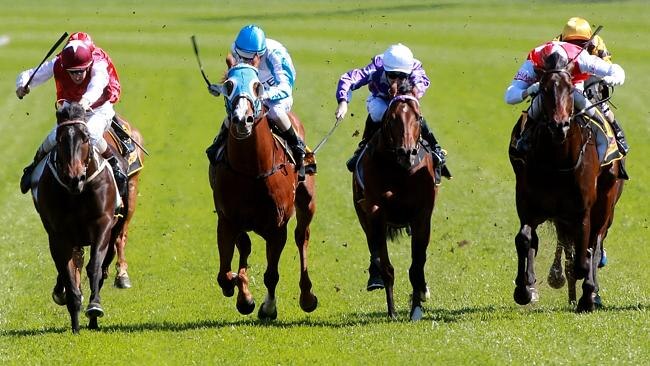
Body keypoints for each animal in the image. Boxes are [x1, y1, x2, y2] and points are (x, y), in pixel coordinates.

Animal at [35, 102, 119, 332]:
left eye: (85, 137)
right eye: (60, 139)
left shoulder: (103, 224)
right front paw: (75, 323)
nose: (75, 177)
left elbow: (95, 267)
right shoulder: (58, 235)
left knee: (102, 265)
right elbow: (68, 274)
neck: (77, 193)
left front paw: (95, 307)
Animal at [208, 61, 316, 318]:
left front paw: (268, 307)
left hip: (307, 201)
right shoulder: (227, 220)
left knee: (302, 237)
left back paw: (307, 296)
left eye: (258, 86)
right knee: (245, 246)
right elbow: (225, 274)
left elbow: (271, 274)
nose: (242, 119)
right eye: (229, 85)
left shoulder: (277, 227)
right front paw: (243, 294)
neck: (252, 171)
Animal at [352, 81, 438, 320]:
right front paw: (391, 312)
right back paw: (375, 279)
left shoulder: (421, 216)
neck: (401, 171)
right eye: (391, 119)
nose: (406, 152)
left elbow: (416, 266)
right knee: (374, 251)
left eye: (418, 117)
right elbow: (386, 266)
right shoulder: (375, 213)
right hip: (363, 216)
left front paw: (416, 310)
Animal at [506, 52, 624, 312]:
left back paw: (588, 294)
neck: (558, 159)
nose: (559, 125)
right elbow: (525, 239)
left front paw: (585, 292)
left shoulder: (582, 211)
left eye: (570, 89)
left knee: (594, 244)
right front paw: (524, 288)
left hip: (605, 204)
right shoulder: (530, 206)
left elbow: (584, 256)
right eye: (543, 89)